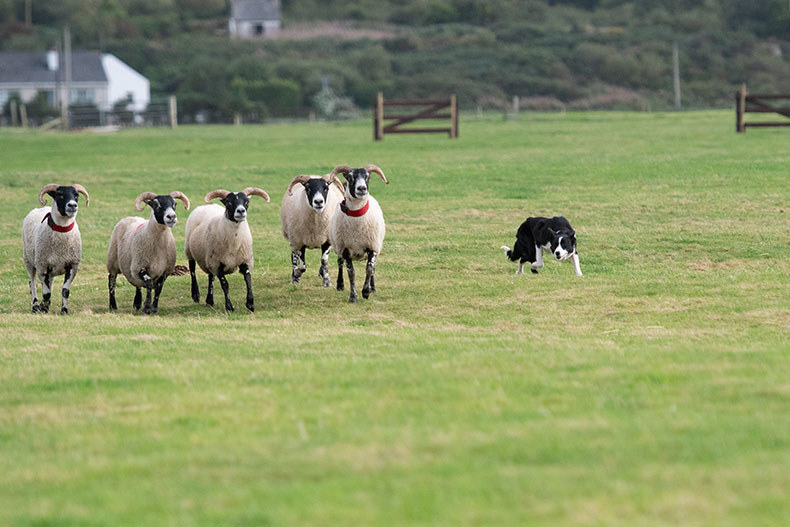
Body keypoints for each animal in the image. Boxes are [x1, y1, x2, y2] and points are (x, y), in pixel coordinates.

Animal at [22, 183, 90, 314]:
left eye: (76, 195)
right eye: (60, 195)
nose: (72, 205)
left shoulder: (72, 266)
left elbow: (64, 291)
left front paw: (64, 310)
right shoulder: (42, 267)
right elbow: (46, 293)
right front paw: (43, 308)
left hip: (50, 269)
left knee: (49, 284)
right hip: (29, 261)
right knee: (32, 283)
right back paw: (35, 306)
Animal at [328, 164, 389, 303]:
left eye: (367, 177)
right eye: (350, 177)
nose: (362, 188)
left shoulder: (372, 247)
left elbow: (369, 269)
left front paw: (366, 291)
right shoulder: (345, 249)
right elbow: (351, 273)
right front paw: (353, 296)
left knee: (373, 268)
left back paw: (372, 288)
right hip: (338, 246)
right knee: (340, 264)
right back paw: (340, 285)